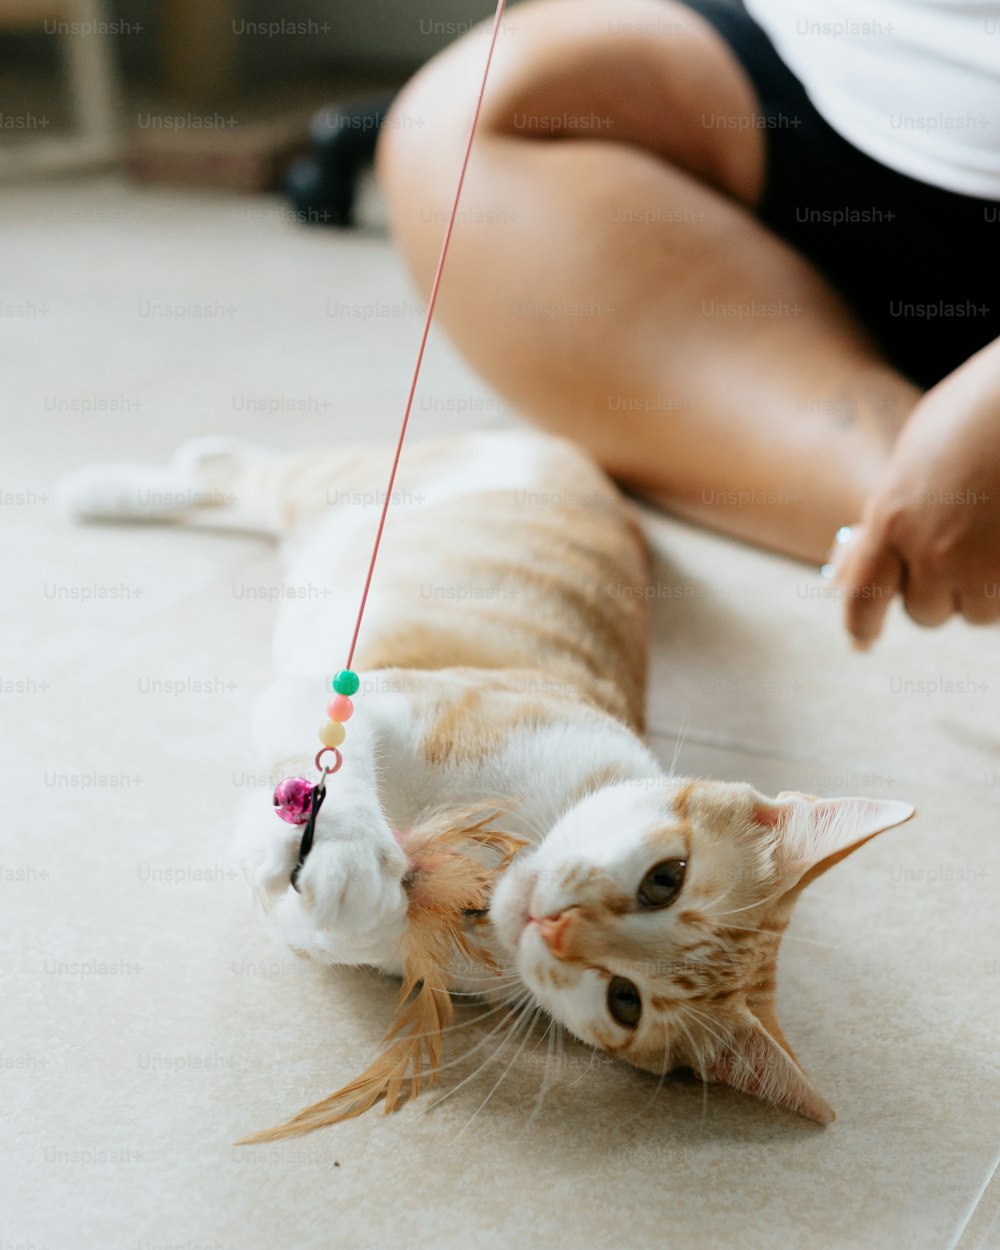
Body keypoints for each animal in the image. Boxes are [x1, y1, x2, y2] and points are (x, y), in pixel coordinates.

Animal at [62, 425, 915, 1130]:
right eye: (665, 879)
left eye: (625, 1002)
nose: (557, 924)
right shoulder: (366, 695)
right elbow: (334, 759)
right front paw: (342, 846)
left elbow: (331, 929)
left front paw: (335, 879)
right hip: (347, 484)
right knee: (241, 475)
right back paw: (105, 487)